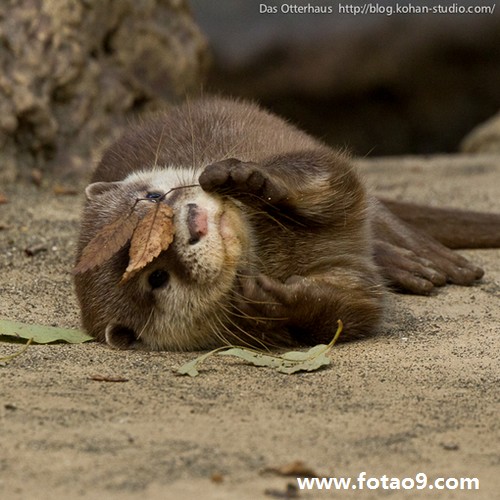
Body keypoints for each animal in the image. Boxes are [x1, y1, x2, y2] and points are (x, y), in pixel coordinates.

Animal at [74, 98, 500, 352]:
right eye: (157, 278)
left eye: (152, 198)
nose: (193, 224)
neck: (279, 248)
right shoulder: (347, 278)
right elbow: (354, 307)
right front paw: (272, 300)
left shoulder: (312, 166)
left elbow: (327, 173)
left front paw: (247, 178)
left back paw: (430, 261)